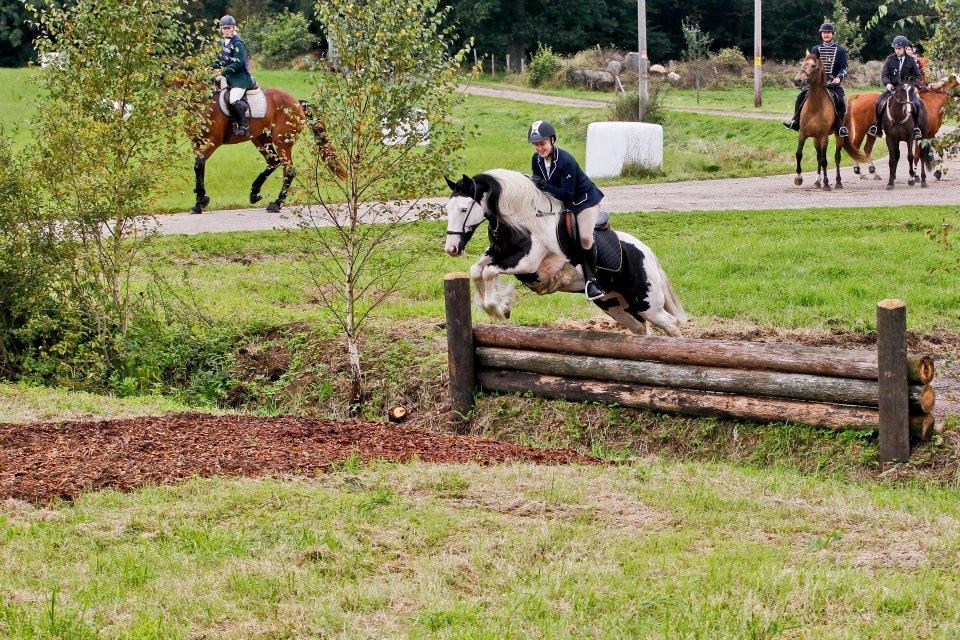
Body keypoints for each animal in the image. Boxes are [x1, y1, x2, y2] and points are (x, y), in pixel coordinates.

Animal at [189, 87, 344, 215]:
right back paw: (255, 192)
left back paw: (276, 204)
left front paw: (201, 200)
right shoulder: (198, 143)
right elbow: (199, 168)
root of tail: (296, 102)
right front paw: (199, 203)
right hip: (261, 138)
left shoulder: (213, 141)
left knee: (288, 169)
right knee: (273, 161)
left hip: (282, 142)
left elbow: (198, 165)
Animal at [446, 170, 688, 338]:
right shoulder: (497, 254)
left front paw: (498, 309)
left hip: (647, 303)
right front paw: (492, 306)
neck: (522, 222)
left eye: (464, 209)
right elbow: (476, 270)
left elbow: (489, 272)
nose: (451, 249)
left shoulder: (527, 264)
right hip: (614, 303)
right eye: (447, 209)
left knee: (670, 324)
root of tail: (648, 254)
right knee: (639, 327)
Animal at [792, 54, 852, 190]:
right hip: (815, 139)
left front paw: (826, 184)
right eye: (802, 63)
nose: (798, 80)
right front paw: (798, 178)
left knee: (837, 157)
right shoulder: (803, 134)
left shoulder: (824, 136)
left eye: (813, 65)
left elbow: (825, 160)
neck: (815, 106)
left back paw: (838, 182)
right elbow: (799, 154)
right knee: (818, 156)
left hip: (837, 136)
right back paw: (817, 182)